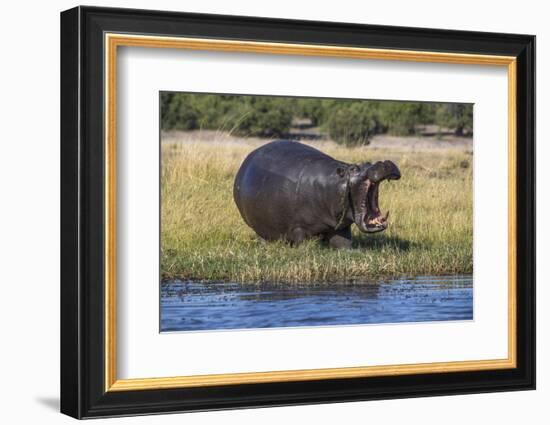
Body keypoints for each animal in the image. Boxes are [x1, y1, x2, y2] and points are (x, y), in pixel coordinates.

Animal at [233, 141, 402, 247]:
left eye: (368, 162)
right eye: (354, 168)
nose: (383, 162)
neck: (334, 183)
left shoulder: (340, 228)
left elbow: (344, 244)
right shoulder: (299, 227)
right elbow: (302, 243)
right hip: (259, 227)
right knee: (263, 236)